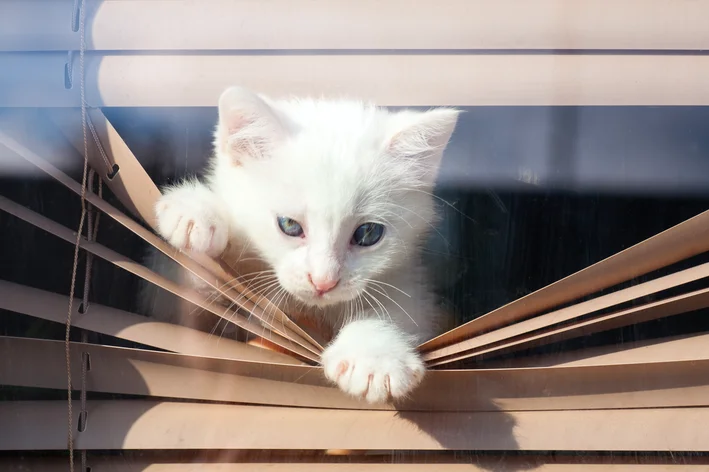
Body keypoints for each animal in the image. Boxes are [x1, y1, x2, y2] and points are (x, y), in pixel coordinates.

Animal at [142, 86, 460, 404]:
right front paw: (195, 211)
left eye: (368, 233)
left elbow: (402, 308)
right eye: (289, 225)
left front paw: (374, 356)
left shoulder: (409, 281)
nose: (323, 282)